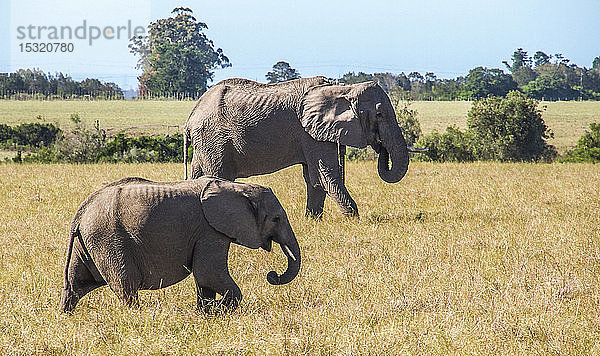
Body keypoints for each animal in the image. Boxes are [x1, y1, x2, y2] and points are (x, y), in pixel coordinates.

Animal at [61, 177, 300, 312]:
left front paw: (206, 313)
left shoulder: (208, 231)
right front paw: (217, 310)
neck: (237, 187)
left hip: (88, 241)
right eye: (276, 219)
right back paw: (135, 317)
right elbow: (209, 274)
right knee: (126, 285)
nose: (272, 275)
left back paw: (66, 317)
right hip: (108, 239)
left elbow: (205, 279)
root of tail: (81, 211)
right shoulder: (210, 230)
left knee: (75, 283)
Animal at [185, 76, 414, 217]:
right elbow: (326, 174)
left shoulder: (313, 134)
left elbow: (314, 178)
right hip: (214, 140)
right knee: (218, 176)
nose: (380, 146)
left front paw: (312, 220)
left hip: (204, 144)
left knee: (197, 175)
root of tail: (192, 113)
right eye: (379, 115)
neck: (342, 88)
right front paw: (353, 218)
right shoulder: (311, 133)